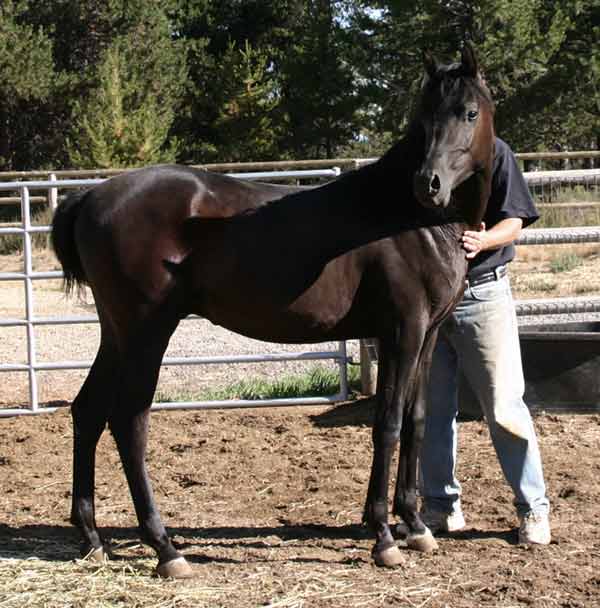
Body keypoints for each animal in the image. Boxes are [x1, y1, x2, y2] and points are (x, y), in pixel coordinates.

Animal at [50, 45, 492, 576]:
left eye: (468, 112)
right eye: (424, 118)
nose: (429, 184)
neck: (408, 218)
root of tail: (93, 195)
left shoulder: (427, 335)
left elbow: (417, 419)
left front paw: (416, 525)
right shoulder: (402, 331)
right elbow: (387, 423)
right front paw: (384, 536)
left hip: (117, 334)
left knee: (88, 411)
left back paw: (93, 538)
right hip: (146, 334)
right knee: (128, 422)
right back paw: (165, 548)